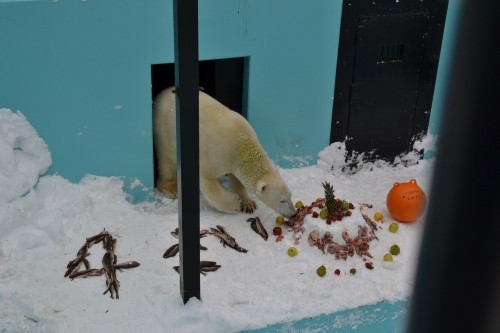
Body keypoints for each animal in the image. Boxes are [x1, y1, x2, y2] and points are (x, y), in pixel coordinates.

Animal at [151, 87, 292, 217]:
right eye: (282, 200)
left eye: (290, 195)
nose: (293, 213)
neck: (243, 144)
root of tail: (159, 95)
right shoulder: (217, 154)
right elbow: (206, 179)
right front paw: (234, 204)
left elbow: (237, 178)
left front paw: (248, 203)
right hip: (164, 129)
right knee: (167, 160)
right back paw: (171, 188)